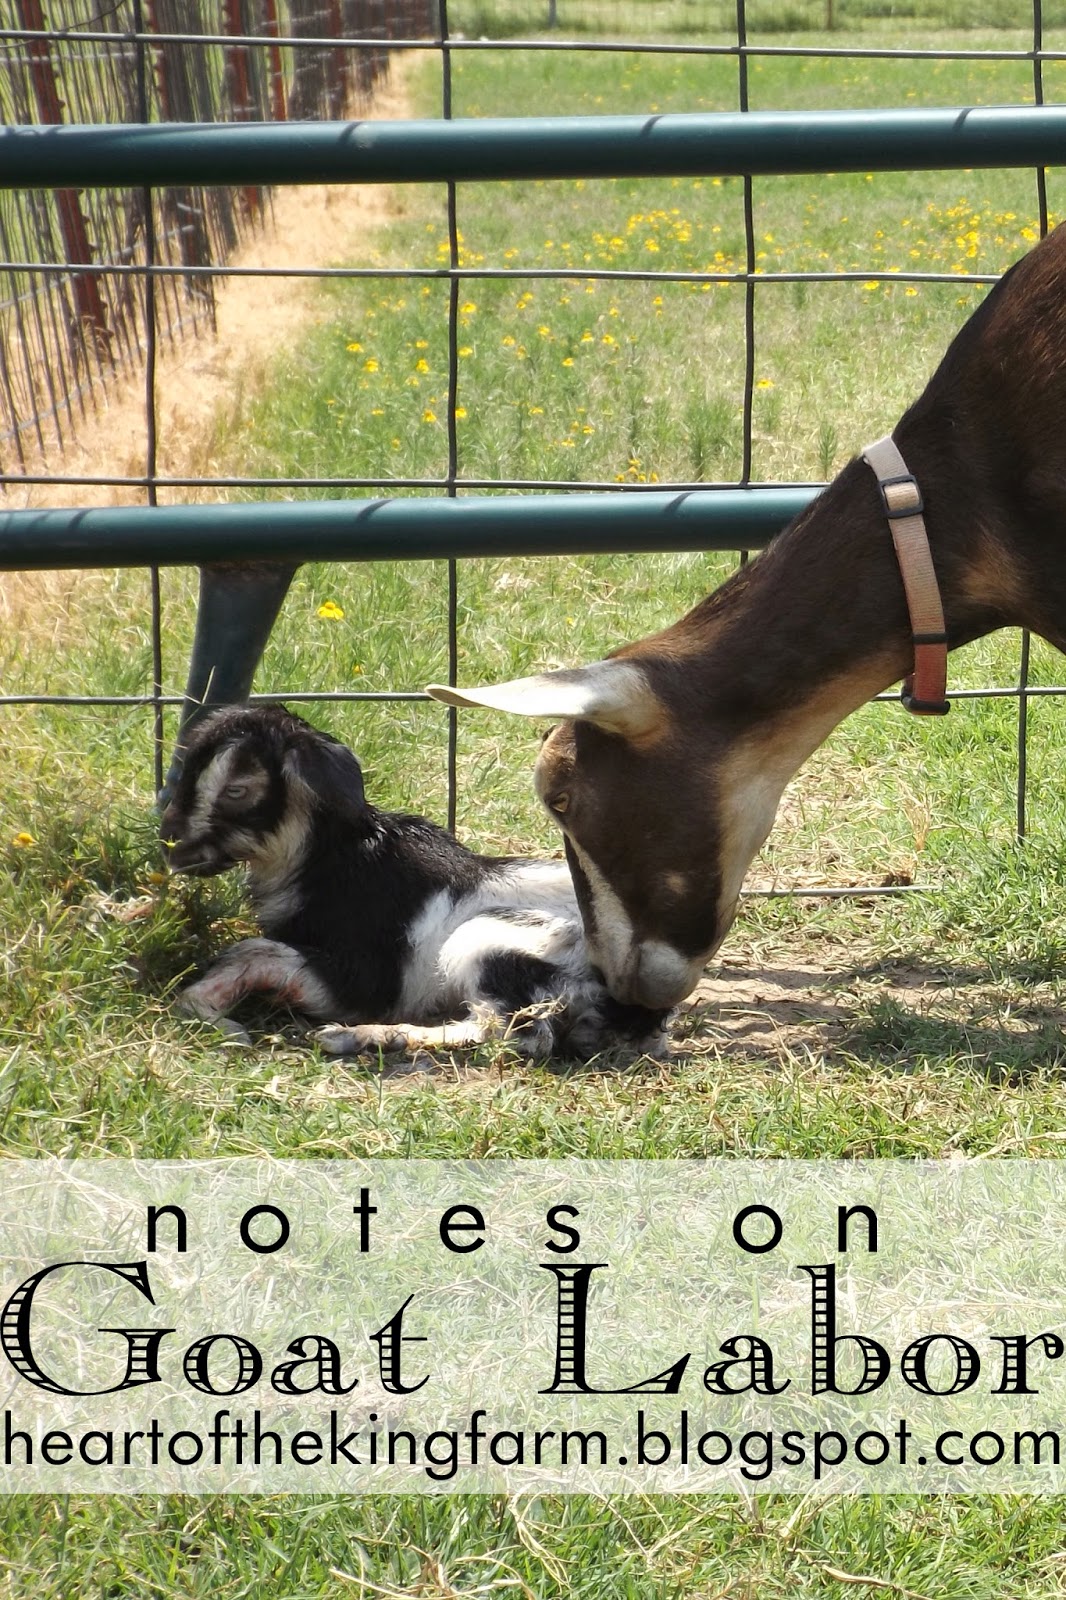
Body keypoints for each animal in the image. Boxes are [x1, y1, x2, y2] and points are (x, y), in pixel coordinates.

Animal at [158, 704, 667, 1059]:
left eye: (237, 789)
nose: (171, 842)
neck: (338, 861)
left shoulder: (370, 978)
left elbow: (252, 952)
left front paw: (217, 1020)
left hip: (488, 940)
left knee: (513, 1035)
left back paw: (363, 1038)